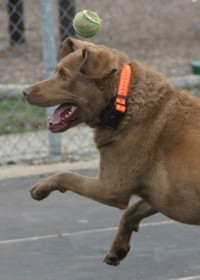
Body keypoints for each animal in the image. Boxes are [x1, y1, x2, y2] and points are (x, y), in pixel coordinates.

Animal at [23, 37, 200, 264]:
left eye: (63, 75)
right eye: (56, 71)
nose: (25, 92)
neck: (121, 102)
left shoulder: (111, 188)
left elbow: (67, 174)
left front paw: (41, 187)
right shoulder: (162, 197)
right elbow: (132, 211)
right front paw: (118, 249)